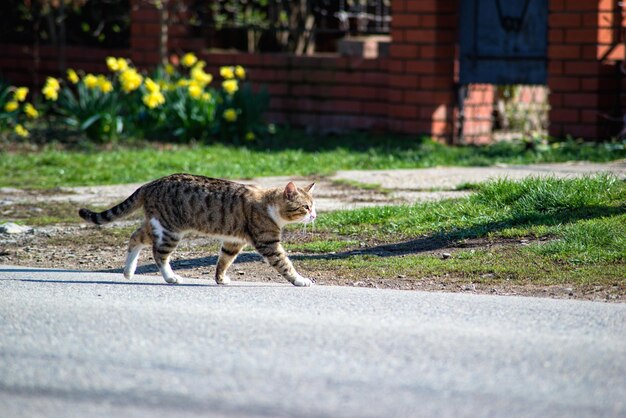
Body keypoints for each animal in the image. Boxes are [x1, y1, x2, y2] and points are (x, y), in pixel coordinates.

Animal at [79, 174, 316, 288]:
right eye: (306, 207)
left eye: (314, 206)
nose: (314, 216)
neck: (268, 203)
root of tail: (150, 183)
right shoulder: (268, 242)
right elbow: (284, 263)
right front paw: (300, 280)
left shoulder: (234, 241)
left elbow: (224, 260)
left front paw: (220, 279)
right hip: (170, 230)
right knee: (158, 253)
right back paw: (171, 277)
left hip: (157, 223)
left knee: (135, 237)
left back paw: (128, 271)